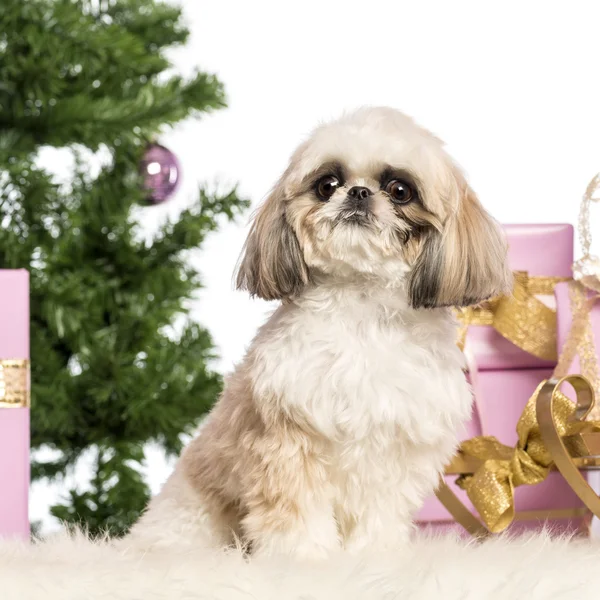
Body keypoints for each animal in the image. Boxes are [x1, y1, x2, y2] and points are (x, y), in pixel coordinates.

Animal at [127, 106, 510, 556]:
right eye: (327, 185)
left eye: (400, 190)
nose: (358, 193)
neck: (362, 310)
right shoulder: (287, 444)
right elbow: (298, 516)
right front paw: (303, 559)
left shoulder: (395, 456)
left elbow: (378, 518)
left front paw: (374, 557)